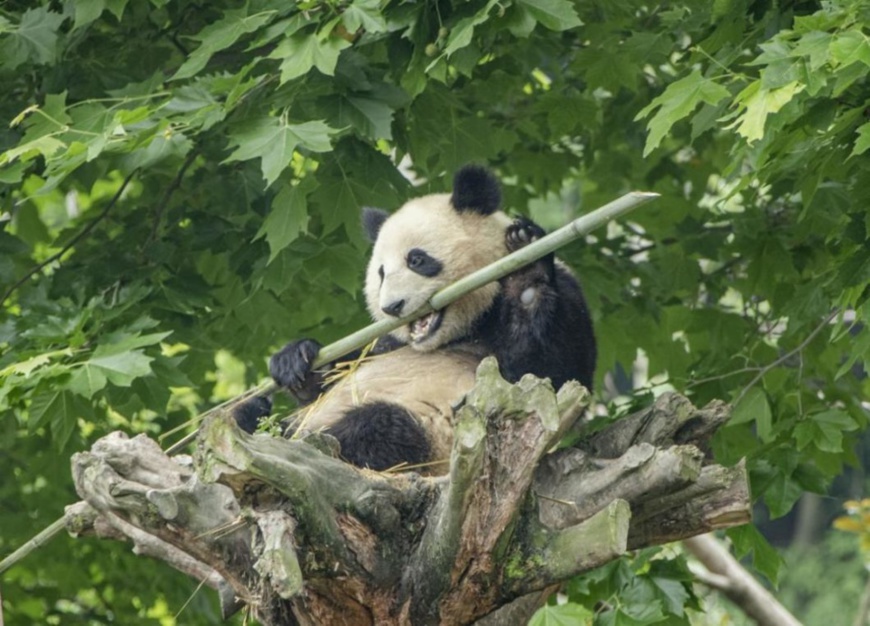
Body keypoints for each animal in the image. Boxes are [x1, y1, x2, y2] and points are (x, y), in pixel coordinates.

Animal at [235, 166, 596, 472]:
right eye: (381, 273)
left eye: (417, 260)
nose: (392, 307)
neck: (467, 326)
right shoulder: (386, 339)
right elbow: (341, 371)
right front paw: (294, 360)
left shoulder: (563, 301)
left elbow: (548, 374)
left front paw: (525, 265)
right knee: (252, 414)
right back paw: (258, 417)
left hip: (430, 437)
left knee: (378, 426)